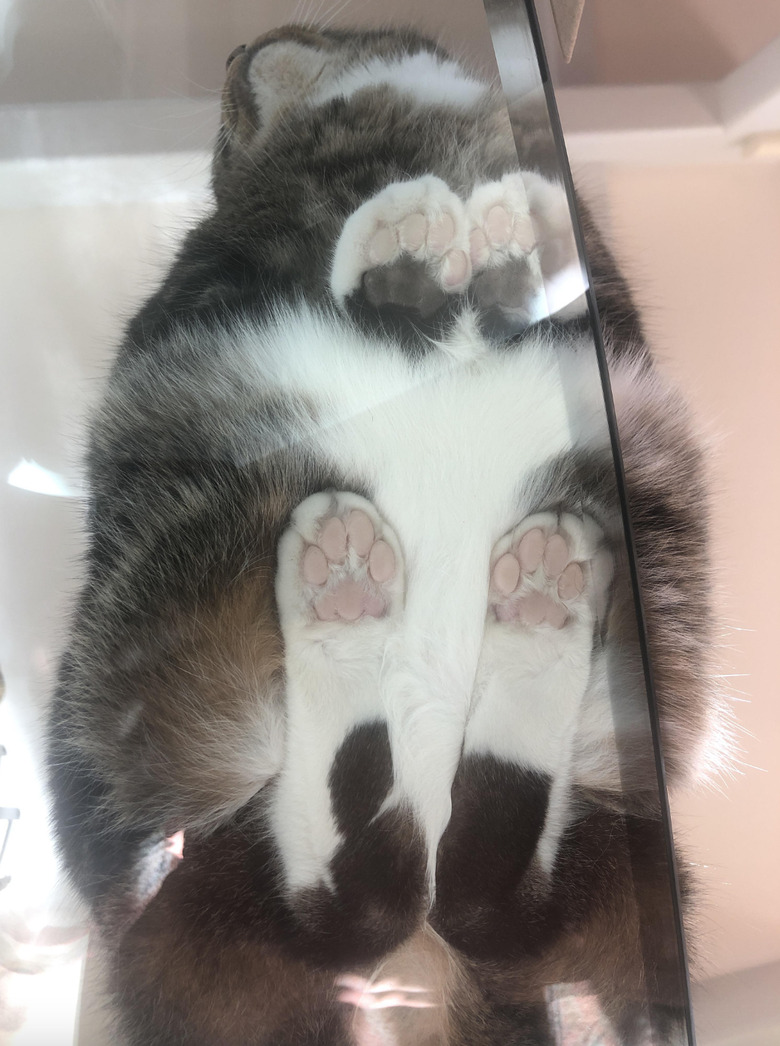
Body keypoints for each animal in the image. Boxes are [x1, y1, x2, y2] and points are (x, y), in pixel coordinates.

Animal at [45, 18, 719, 1046]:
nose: (235, 49)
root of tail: (419, 978)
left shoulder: (605, 308)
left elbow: (546, 289)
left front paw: (503, 237)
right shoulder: (229, 268)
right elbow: (348, 279)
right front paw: (412, 246)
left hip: (622, 842)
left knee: (482, 905)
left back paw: (525, 601)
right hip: (171, 785)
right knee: (350, 908)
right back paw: (352, 593)